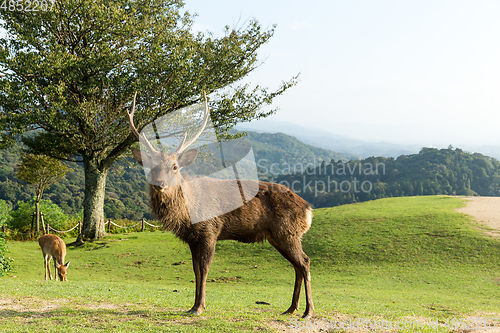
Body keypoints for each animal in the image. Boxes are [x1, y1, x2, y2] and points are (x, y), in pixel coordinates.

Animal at [129, 92, 314, 316]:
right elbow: (194, 269)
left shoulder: (210, 230)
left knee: (305, 262)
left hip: (288, 232)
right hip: (279, 236)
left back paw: (308, 310)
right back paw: (291, 308)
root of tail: (308, 209)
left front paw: (200, 307)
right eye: (151, 166)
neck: (187, 213)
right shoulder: (193, 238)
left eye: (174, 167)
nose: (159, 184)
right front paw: (192, 306)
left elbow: (204, 268)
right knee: (297, 265)